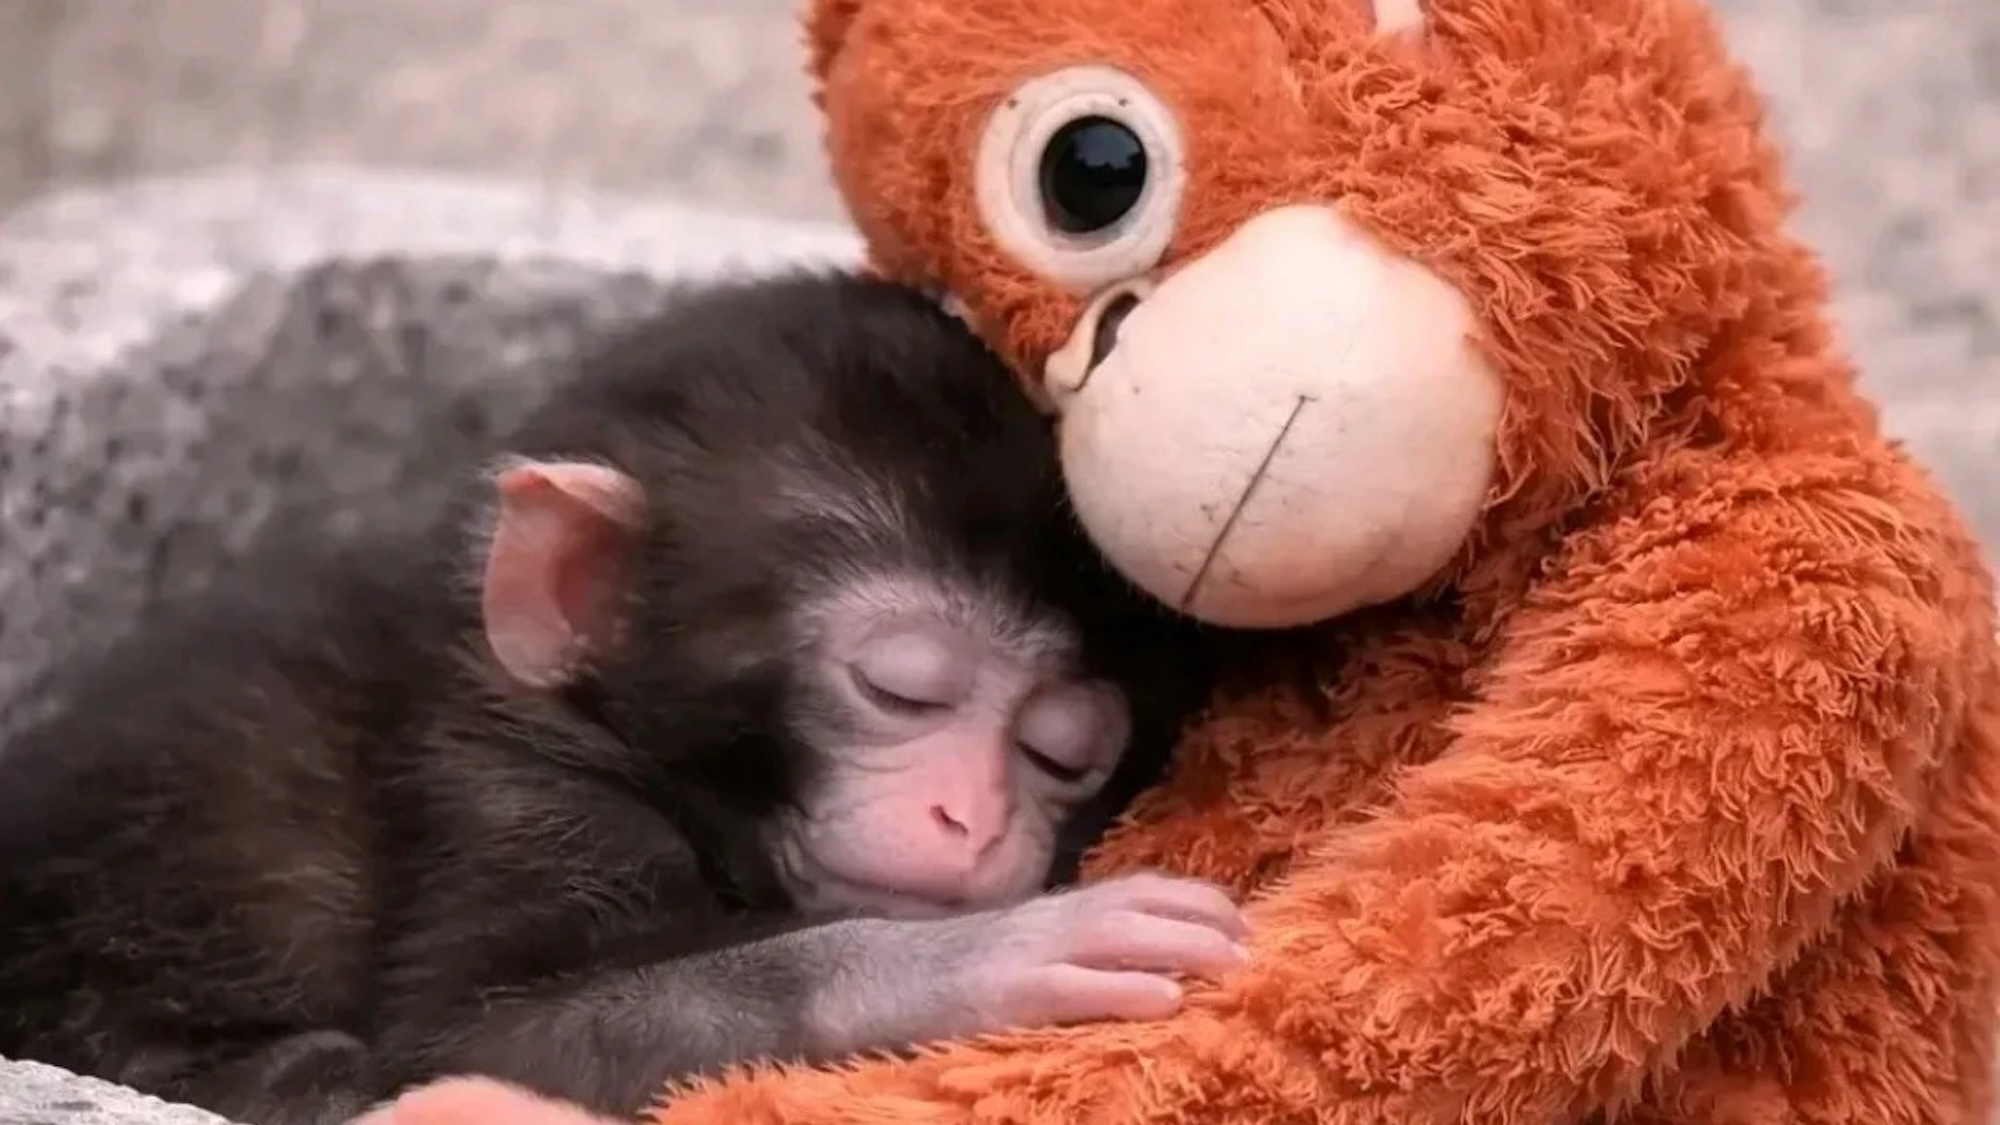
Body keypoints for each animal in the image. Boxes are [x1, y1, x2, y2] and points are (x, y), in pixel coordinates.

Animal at [0, 272, 1243, 1125]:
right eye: (899, 690)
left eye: (1062, 752)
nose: (970, 819)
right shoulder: (504, 793)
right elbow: (478, 1040)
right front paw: (983, 960)